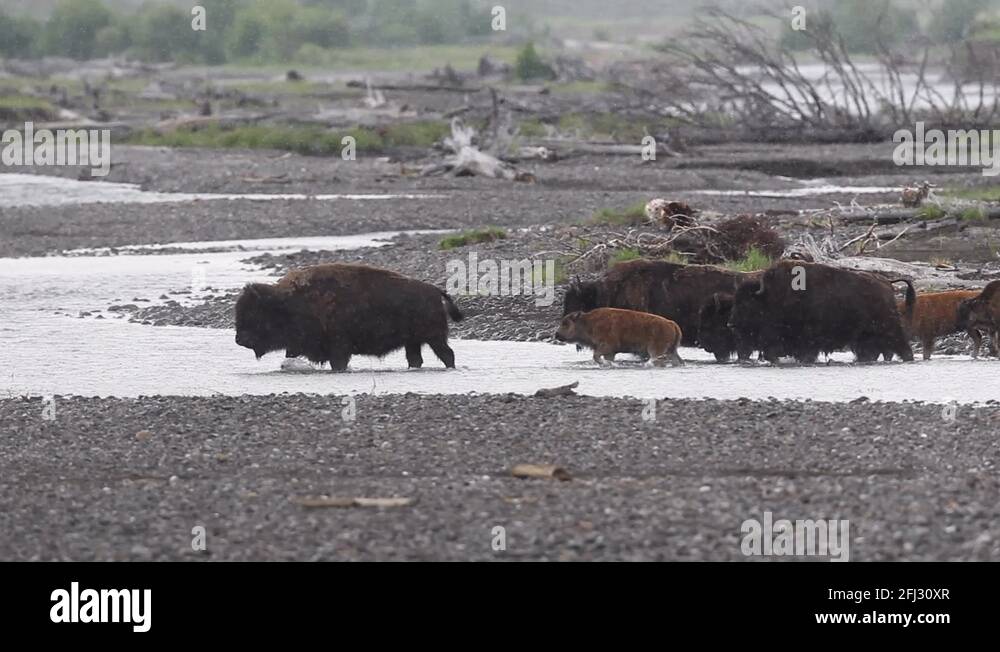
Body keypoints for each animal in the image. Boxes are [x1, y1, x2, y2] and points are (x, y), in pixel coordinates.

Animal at [235, 263, 463, 370]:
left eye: (256, 313)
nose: (239, 339)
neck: (288, 302)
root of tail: (435, 290)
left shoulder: (338, 348)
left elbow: (338, 363)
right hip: (414, 342)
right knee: (416, 358)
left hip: (434, 338)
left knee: (447, 354)